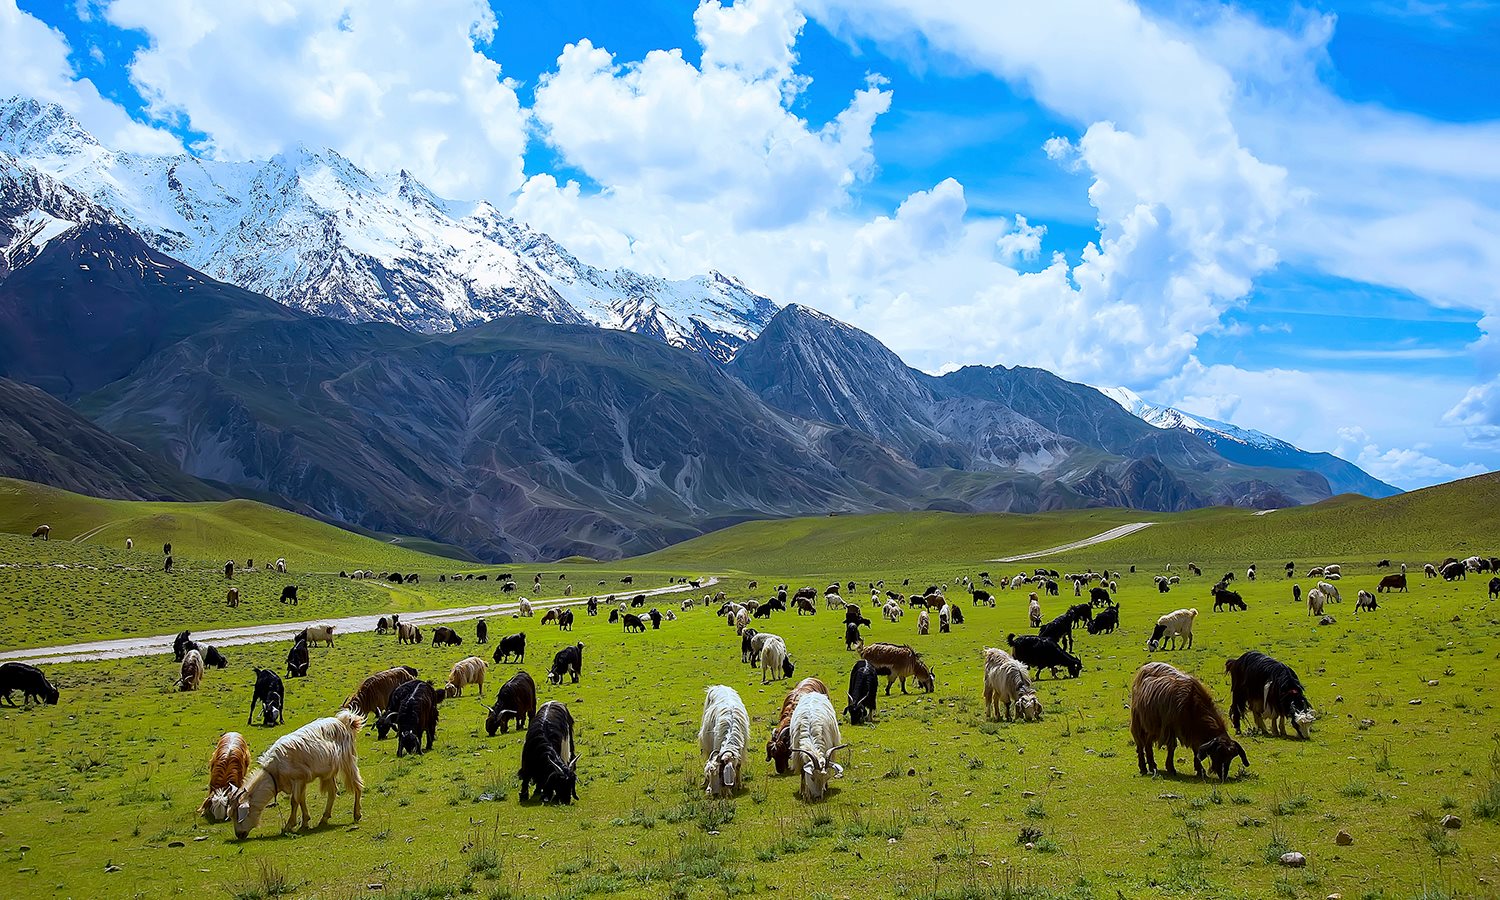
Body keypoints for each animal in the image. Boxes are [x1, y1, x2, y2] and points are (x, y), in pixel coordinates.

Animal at [232, 711, 364, 834]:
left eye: (238, 816)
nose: (238, 834)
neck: (275, 772)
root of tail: (342, 722)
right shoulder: (301, 782)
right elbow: (301, 799)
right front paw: (305, 822)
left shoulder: (298, 779)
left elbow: (294, 801)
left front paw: (289, 825)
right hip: (328, 771)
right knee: (333, 791)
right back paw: (324, 818)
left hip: (348, 759)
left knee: (357, 784)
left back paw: (357, 814)